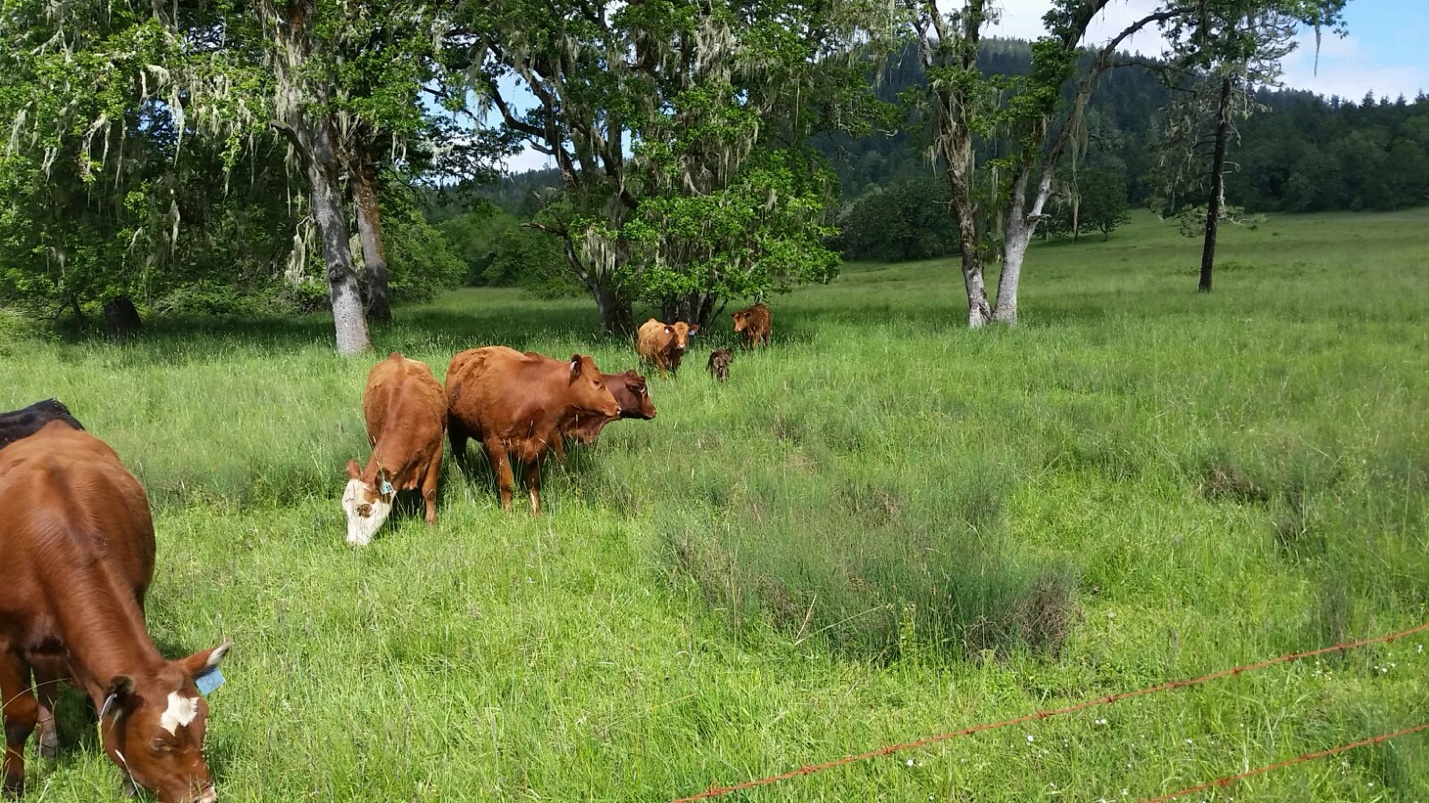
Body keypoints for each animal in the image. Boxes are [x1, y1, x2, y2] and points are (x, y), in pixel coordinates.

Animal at [0, 421, 229, 803]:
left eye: (204, 724)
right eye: (158, 743)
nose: (205, 797)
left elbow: (105, 710)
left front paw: (127, 783)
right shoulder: (5, 642)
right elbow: (18, 717)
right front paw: (12, 784)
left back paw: (49, 742)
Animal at [343, 352, 446, 547]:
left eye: (365, 509)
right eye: (345, 510)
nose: (352, 544)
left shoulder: (437, 450)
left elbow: (429, 491)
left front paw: (431, 523)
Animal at [446, 347, 619, 515]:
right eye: (596, 381)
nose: (617, 408)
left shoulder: (540, 444)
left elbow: (534, 483)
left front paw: (536, 512)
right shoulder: (495, 444)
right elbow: (506, 483)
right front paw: (508, 512)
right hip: (456, 430)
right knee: (460, 459)